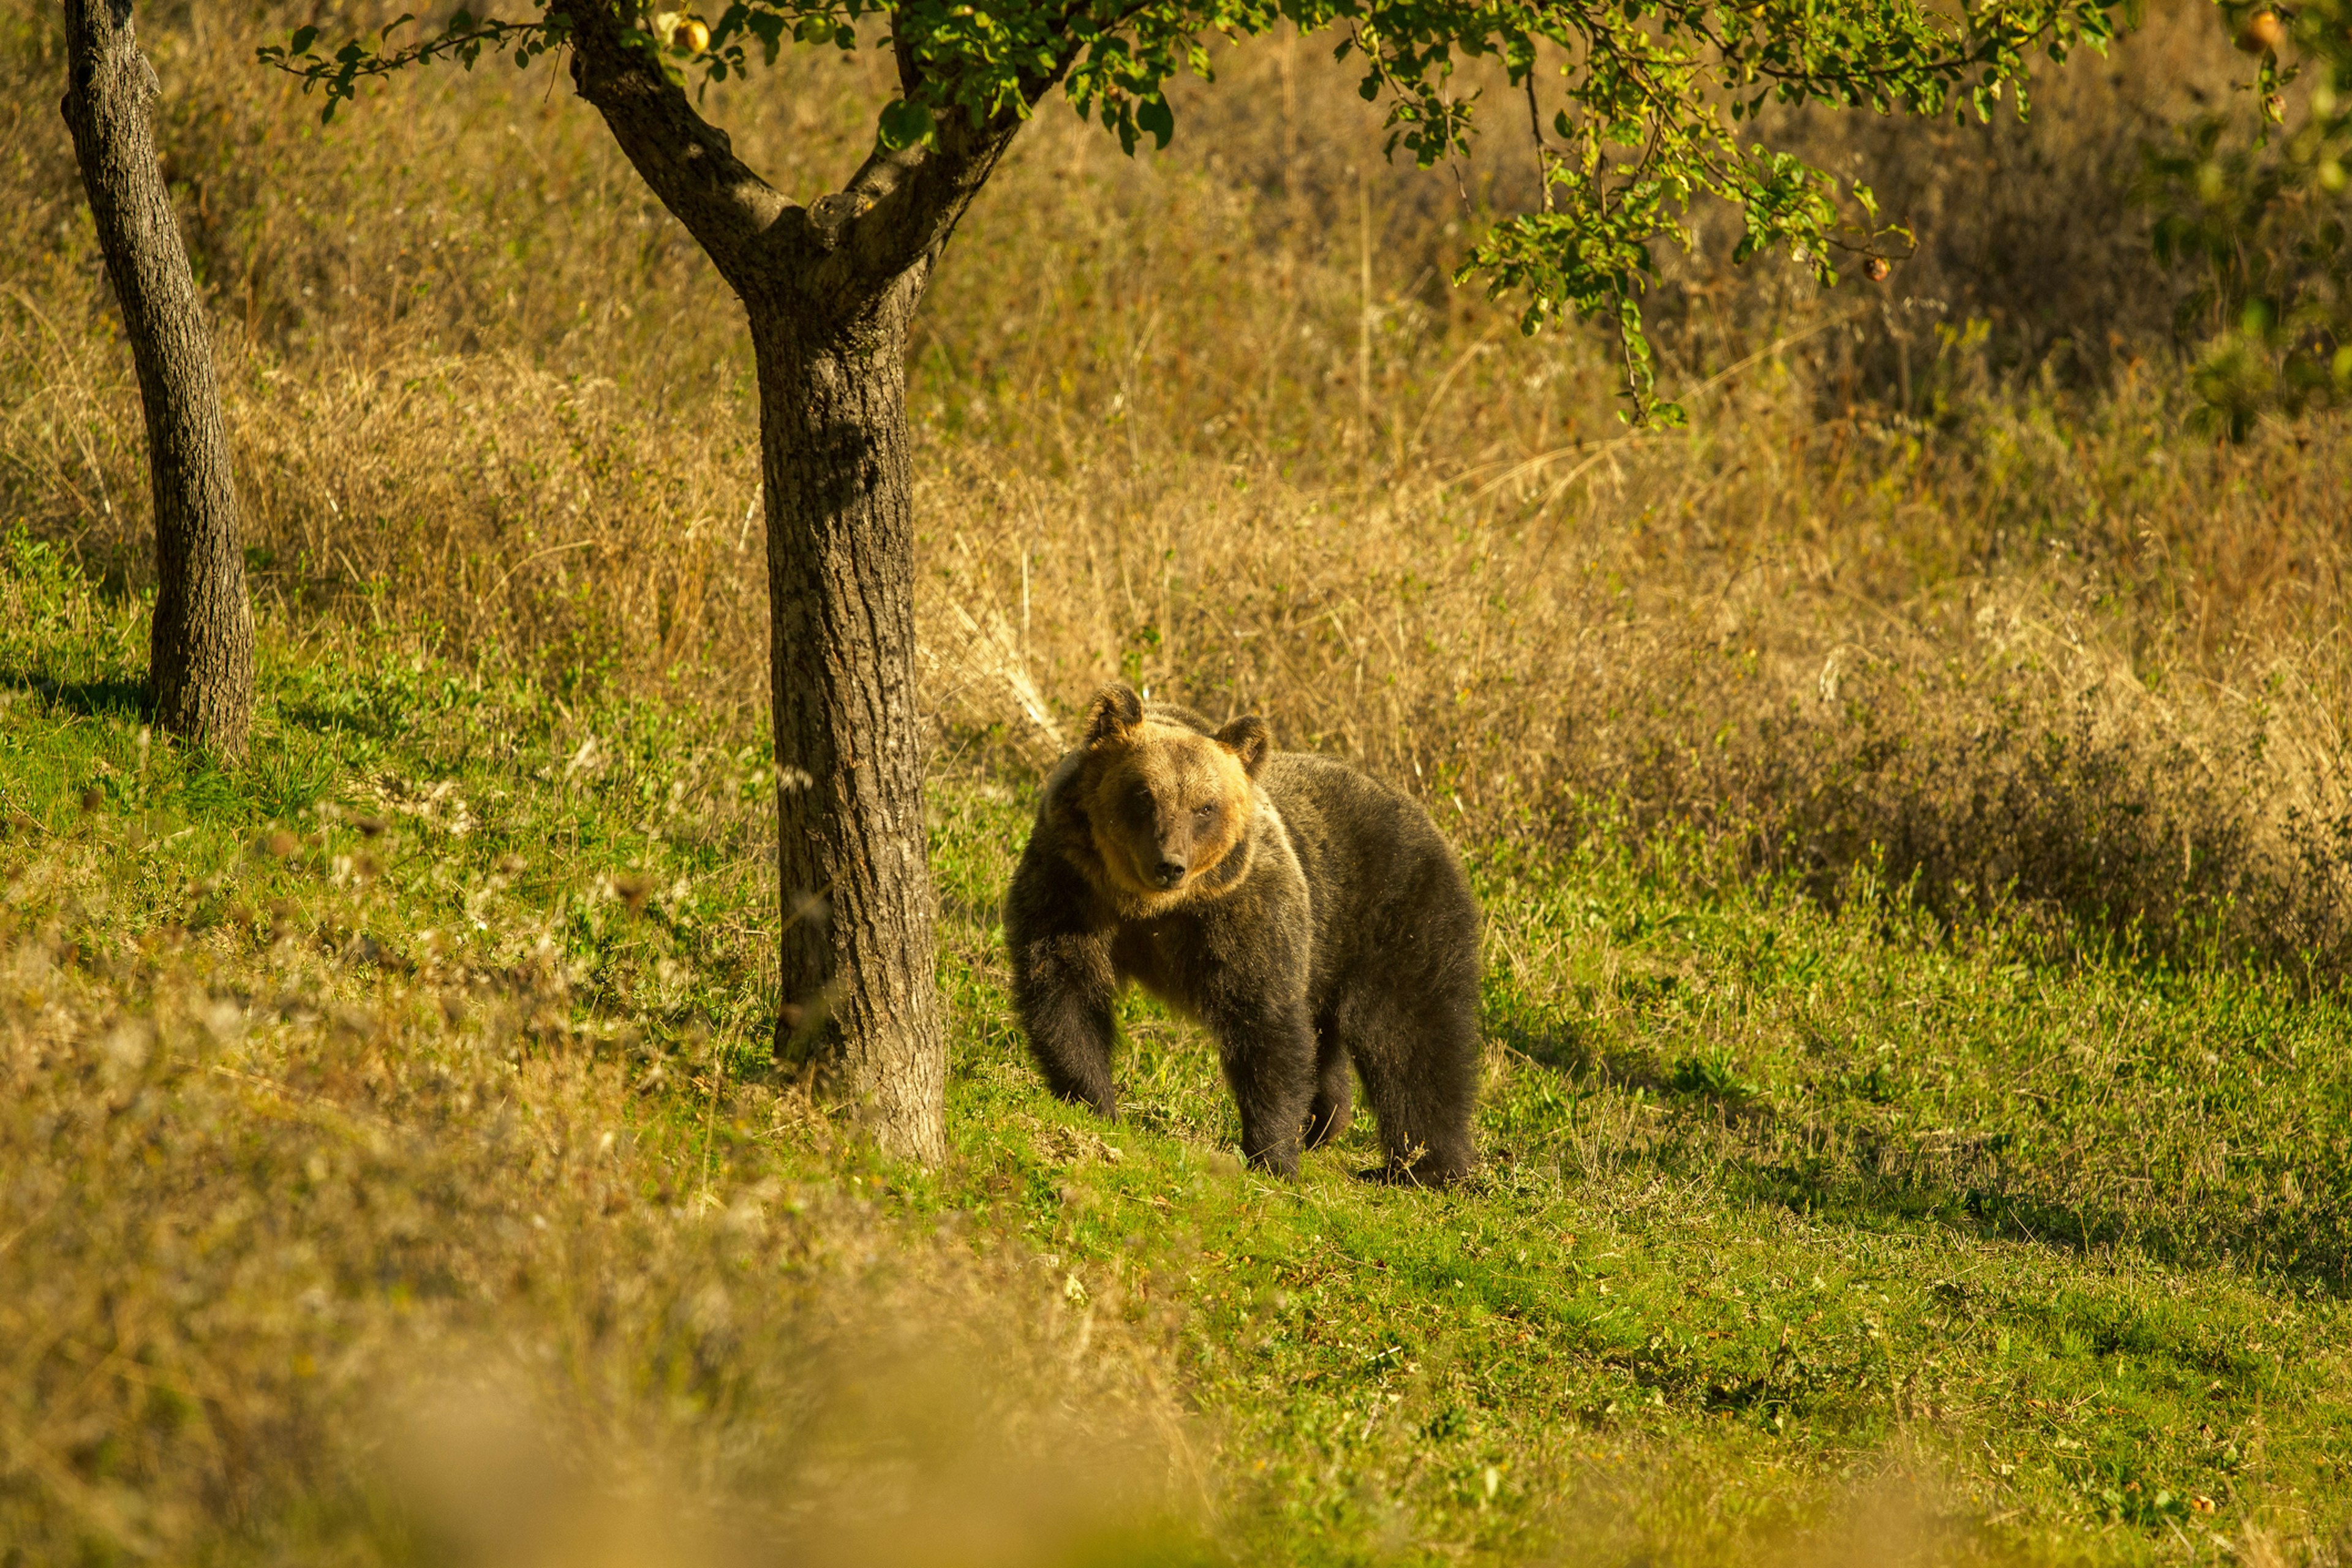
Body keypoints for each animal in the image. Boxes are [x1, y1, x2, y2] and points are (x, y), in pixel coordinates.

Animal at [1001, 682, 1477, 1185]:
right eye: (1144, 794)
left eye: (1204, 807)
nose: (1170, 864)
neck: (1149, 907)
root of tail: (1425, 816)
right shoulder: (1072, 884)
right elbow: (1065, 989)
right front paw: (1094, 1102)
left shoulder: (1244, 912)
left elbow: (1265, 1023)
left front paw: (1271, 1155)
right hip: (1328, 953)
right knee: (1334, 1042)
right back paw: (1325, 1127)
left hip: (1394, 915)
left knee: (1412, 1036)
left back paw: (1423, 1166)